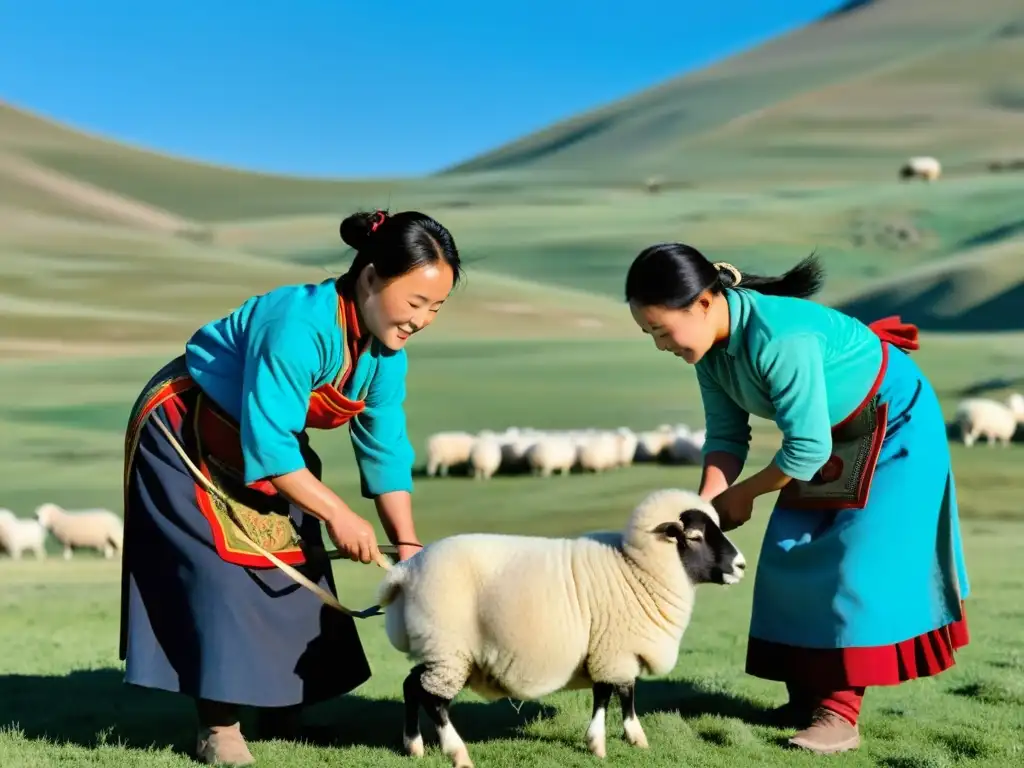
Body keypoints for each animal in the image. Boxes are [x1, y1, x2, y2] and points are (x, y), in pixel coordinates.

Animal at [376, 489, 745, 765]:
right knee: (434, 700)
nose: (741, 565)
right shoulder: (611, 647)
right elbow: (607, 693)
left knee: (412, 686)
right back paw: (457, 753)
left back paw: (414, 746)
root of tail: (405, 571)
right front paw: (599, 743)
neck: (634, 568)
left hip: (437, 650)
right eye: (695, 536)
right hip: (447, 648)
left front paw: (634, 737)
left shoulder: (617, 647)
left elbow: (624, 691)